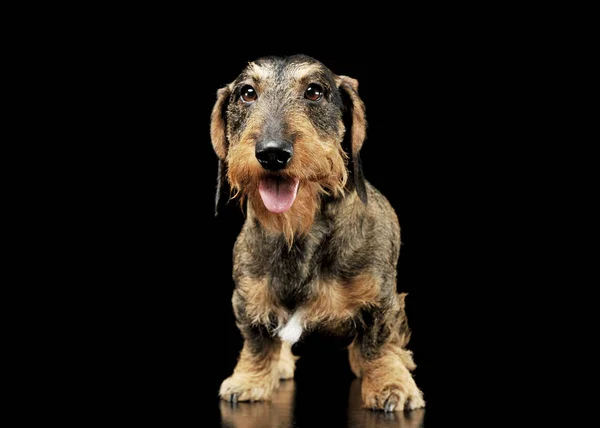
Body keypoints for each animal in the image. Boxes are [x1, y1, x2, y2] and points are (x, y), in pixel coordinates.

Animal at [209, 54, 424, 412]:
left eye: (314, 91)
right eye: (247, 93)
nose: (272, 153)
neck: (298, 231)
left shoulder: (382, 300)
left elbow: (378, 344)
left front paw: (390, 384)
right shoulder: (247, 298)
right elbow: (257, 342)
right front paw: (250, 379)